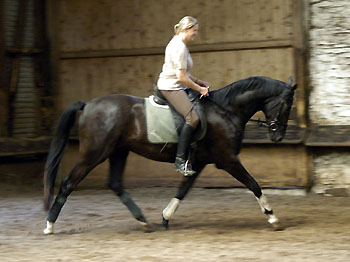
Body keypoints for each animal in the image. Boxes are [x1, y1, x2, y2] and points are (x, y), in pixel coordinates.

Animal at [42, 75, 296, 233]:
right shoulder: (228, 160)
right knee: (68, 183)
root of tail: (88, 105)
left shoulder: (199, 162)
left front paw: (165, 218)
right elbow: (253, 184)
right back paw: (49, 225)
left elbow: (182, 190)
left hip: (119, 152)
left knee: (115, 184)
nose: (278, 136)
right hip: (94, 154)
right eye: (287, 105)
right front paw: (272, 217)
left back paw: (143, 222)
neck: (225, 110)